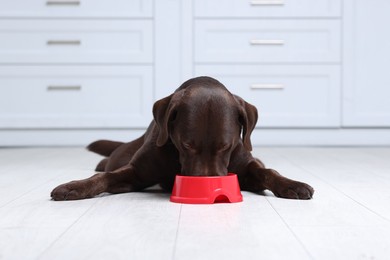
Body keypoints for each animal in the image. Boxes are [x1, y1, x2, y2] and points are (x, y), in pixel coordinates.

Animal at [51, 76, 314, 200]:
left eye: (226, 146)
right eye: (187, 144)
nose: (208, 190)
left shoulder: (247, 167)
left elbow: (268, 172)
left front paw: (293, 184)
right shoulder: (135, 173)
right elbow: (105, 177)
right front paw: (75, 187)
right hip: (124, 153)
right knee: (109, 163)